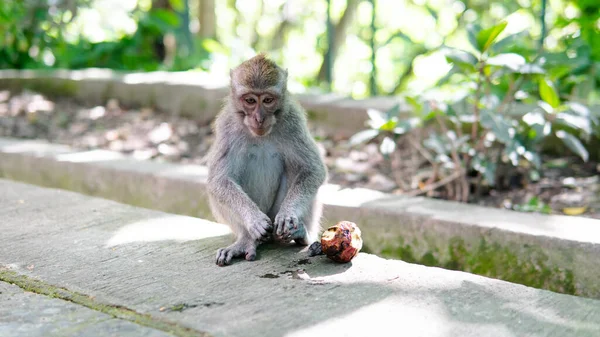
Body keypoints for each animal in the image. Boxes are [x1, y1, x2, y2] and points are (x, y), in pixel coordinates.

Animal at [206, 53, 328, 266]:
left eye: (268, 100)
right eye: (250, 100)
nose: (259, 118)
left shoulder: (293, 121)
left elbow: (313, 169)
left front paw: (288, 214)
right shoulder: (227, 126)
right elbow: (219, 181)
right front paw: (254, 220)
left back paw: (301, 233)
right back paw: (246, 240)